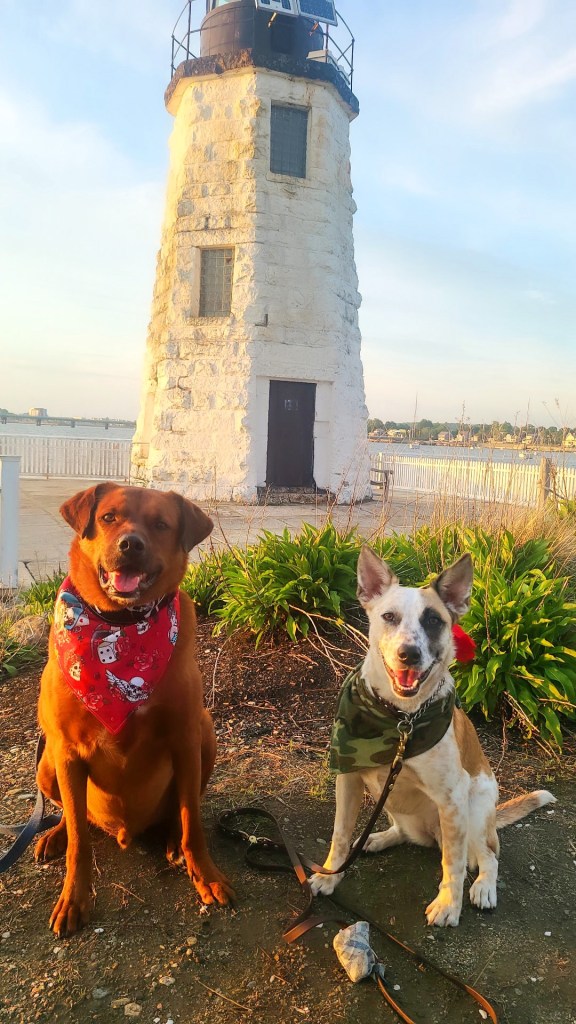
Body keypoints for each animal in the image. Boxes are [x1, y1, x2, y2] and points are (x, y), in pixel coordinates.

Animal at [35, 482, 233, 937]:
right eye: (109, 517)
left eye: (161, 524)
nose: (131, 544)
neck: (122, 629)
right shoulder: (66, 749)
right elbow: (79, 842)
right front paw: (74, 897)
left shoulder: (185, 737)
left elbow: (193, 823)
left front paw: (206, 874)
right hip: (47, 763)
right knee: (74, 818)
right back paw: (54, 834)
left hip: (207, 733)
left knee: (177, 812)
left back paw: (170, 841)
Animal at [310, 547, 555, 927]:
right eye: (389, 616)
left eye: (434, 621)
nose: (408, 654)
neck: (400, 719)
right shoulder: (347, 777)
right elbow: (339, 833)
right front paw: (330, 875)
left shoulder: (452, 799)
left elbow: (452, 864)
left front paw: (448, 905)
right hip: (392, 804)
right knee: (406, 833)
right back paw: (376, 839)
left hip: (476, 810)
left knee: (487, 855)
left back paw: (484, 887)